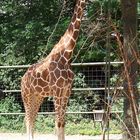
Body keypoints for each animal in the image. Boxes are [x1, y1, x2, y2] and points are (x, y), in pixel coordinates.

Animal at [20, 0, 86, 140]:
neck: (66, 55)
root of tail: (22, 78)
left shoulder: (67, 90)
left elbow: (62, 121)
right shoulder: (57, 90)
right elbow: (58, 121)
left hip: (37, 96)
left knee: (32, 118)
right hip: (26, 95)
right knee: (28, 118)